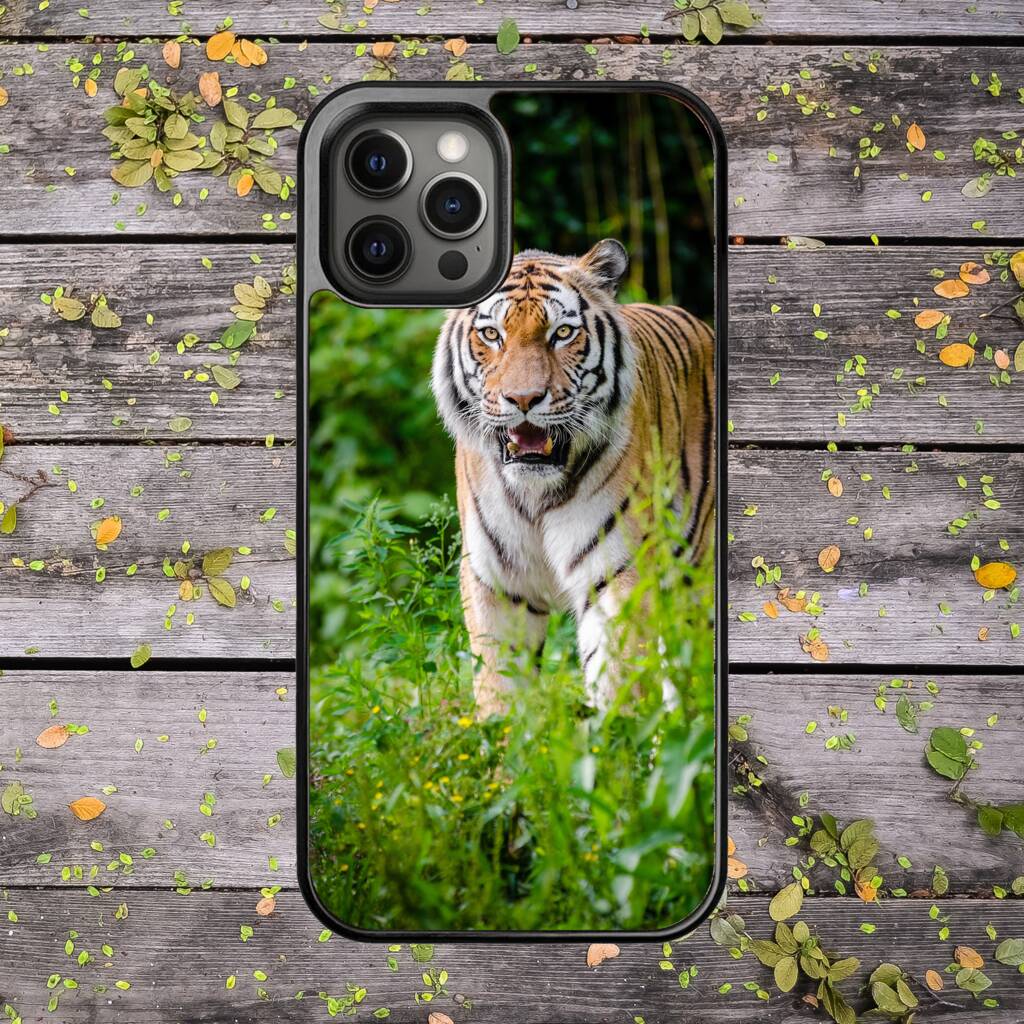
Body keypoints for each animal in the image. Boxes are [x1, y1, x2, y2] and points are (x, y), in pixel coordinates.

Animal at [431, 238, 715, 716]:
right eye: (491, 335)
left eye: (562, 333)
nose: (523, 399)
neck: (535, 493)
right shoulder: (496, 582)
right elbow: (498, 689)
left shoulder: (616, 575)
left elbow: (619, 684)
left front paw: (618, 735)